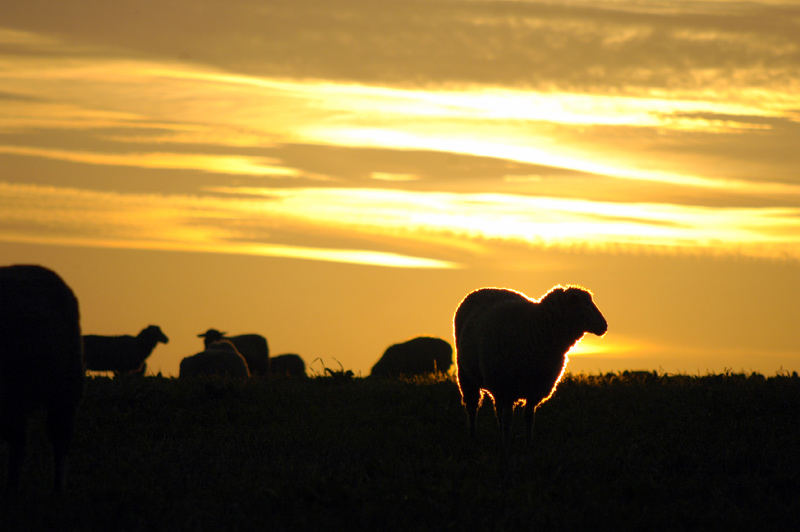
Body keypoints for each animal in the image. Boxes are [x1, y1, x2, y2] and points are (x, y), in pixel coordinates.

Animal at [456, 286, 608, 444]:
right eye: (585, 304)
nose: (604, 326)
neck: (536, 328)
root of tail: (486, 289)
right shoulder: (507, 387)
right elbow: (508, 419)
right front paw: (507, 443)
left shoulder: (535, 388)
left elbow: (529, 417)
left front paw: (528, 442)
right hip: (467, 376)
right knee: (473, 407)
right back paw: (473, 436)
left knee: (497, 410)